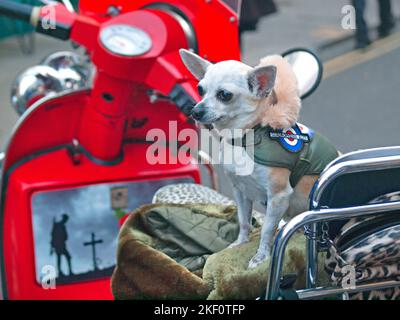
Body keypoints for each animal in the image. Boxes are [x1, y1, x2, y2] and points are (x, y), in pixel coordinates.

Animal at [180, 48, 340, 268]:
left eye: (224, 95)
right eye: (200, 89)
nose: (195, 110)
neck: (245, 138)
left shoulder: (278, 197)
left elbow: (266, 230)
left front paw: (261, 256)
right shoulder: (240, 190)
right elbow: (243, 220)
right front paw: (239, 243)